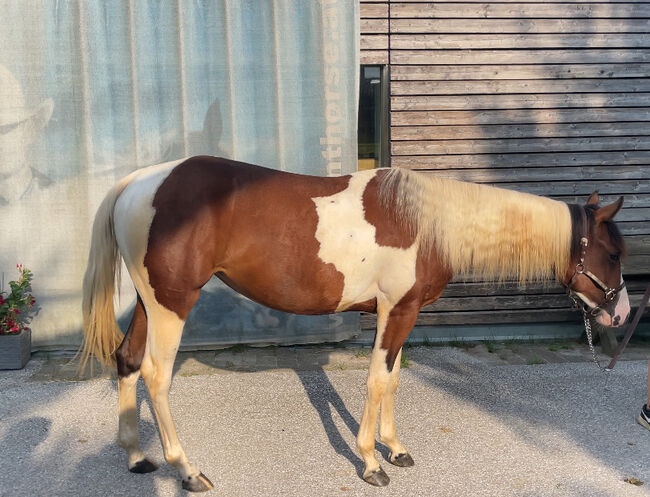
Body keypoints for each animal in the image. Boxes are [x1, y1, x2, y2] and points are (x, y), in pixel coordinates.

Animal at [79, 157, 628, 490]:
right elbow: (377, 380)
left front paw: (395, 449)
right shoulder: (397, 311)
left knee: (127, 361)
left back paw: (137, 457)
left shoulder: (400, 313)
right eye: (614, 253)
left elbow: (392, 379)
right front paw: (370, 462)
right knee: (156, 376)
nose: (621, 313)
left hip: (150, 303)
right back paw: (188, 471)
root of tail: (140, 183)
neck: (427, 222)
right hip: (172, 305)